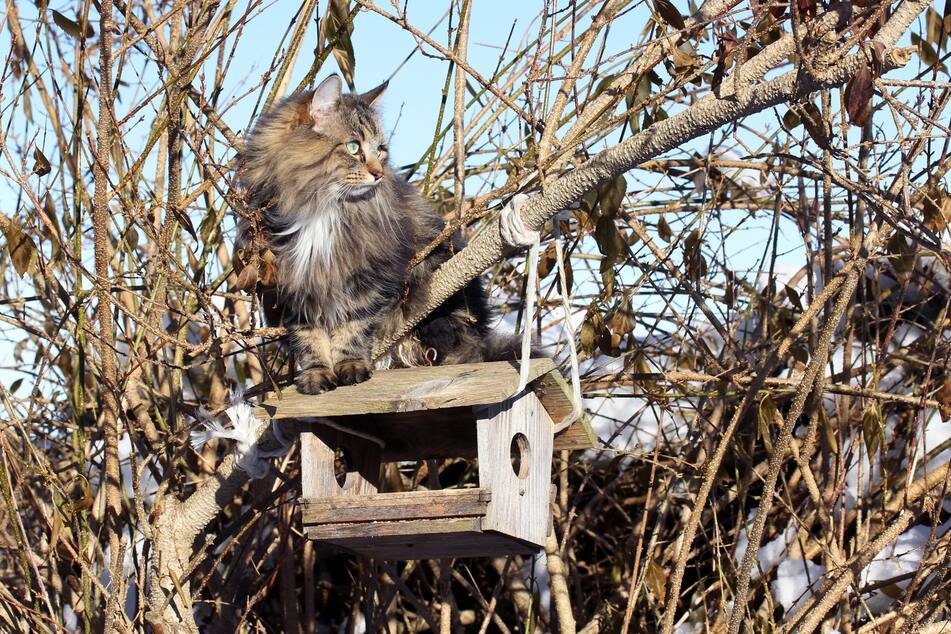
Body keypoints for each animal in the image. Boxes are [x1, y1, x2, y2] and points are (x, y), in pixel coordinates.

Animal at [242, 73, 516, 390]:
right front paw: (317, 375)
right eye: (353, 147)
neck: (321, 210)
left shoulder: (370, 276)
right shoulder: (291, 286)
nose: (378, 173)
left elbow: (353, 328)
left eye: (380, 150)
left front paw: (349, 367)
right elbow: (309, 338)